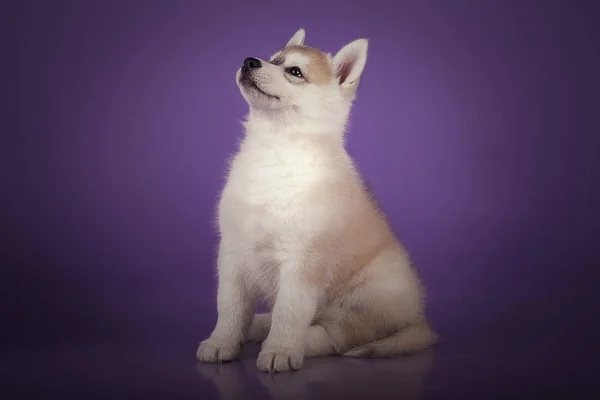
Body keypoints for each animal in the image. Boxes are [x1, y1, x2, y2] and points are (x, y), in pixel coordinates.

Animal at [197, 29, 436, 374]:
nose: (250, 61)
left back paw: (283, 341)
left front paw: (281, 350)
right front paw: (222, 342)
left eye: (295, 72)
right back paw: (256, 326)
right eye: (274, 59)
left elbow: (290, 312)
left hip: (364, 298)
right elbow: (229, 307)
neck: (275, 149)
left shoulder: (303, 259)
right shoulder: (233, 251)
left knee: (334, 337)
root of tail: (417, 318)